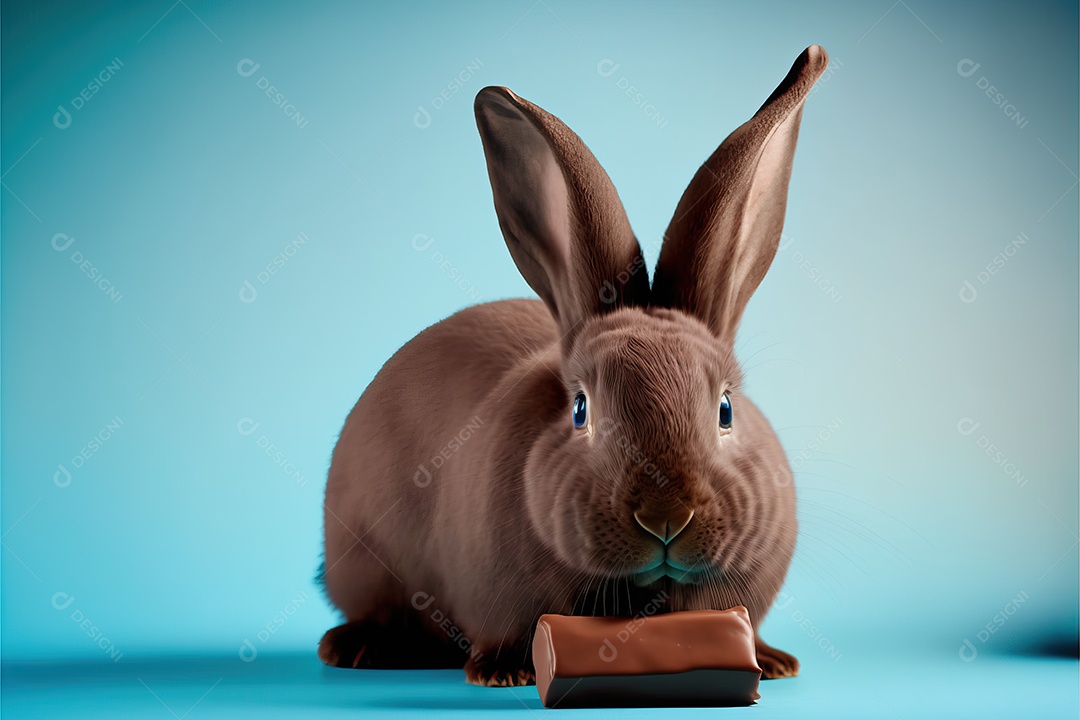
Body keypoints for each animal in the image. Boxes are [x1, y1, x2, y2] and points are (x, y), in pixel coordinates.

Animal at [318, 45, 828, 687]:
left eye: (725, 409)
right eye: (582, 409)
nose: (666, 516)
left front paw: (770, 661)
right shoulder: (496, 597)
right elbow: (505, 629)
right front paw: (503, 672)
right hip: (360, 559)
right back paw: (357, 648)